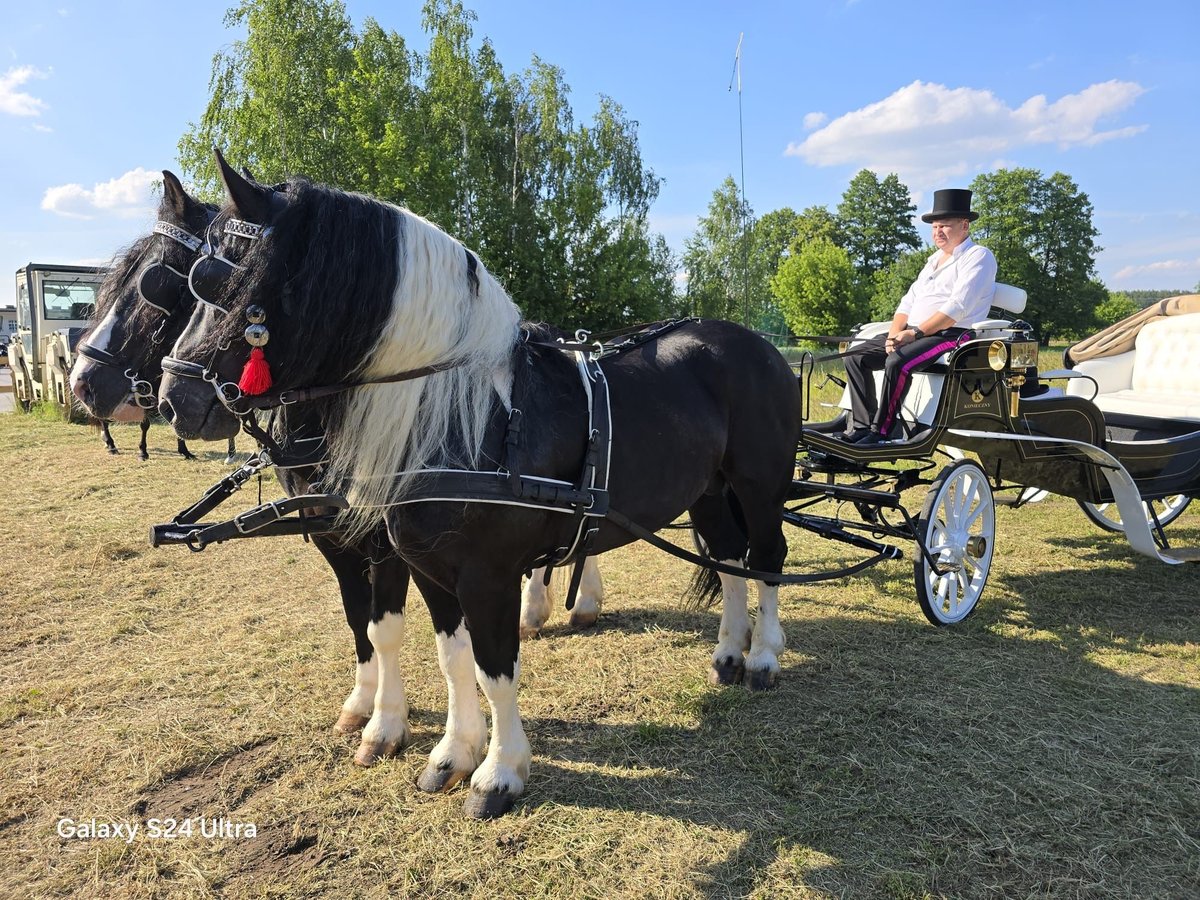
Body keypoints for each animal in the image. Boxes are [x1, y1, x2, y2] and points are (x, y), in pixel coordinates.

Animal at [157, 154, 796, 816]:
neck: (463, 416)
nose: (174, 399)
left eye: (224, 281)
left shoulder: (488, 573)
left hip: (760, 483)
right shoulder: (430, 568)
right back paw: (727, 654)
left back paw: (763, 657)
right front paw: (454, 753)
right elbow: (453, 657)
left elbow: (494, 667)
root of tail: (758, 342)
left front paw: (499, 772)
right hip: (708, 491)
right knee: (730, 560)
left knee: (767, 556)